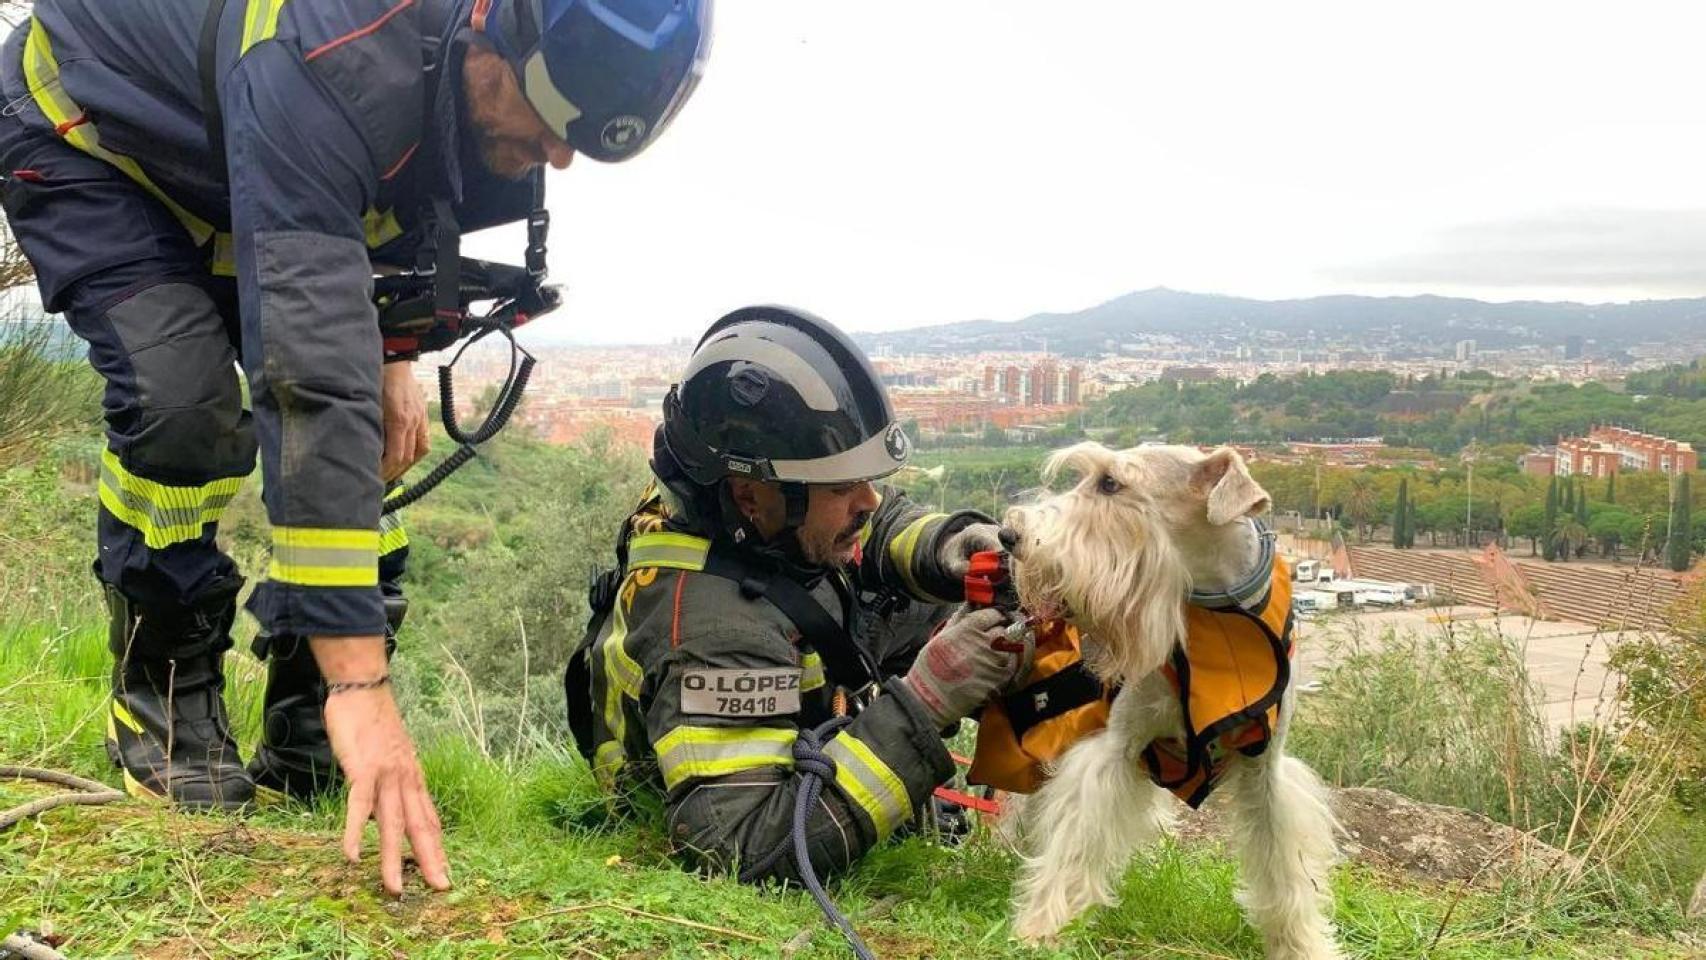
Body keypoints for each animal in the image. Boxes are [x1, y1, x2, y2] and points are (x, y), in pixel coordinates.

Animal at [996, 443, 1344, 960]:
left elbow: (1284, 864)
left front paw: (1300, 943)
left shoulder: (1267, 768)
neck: (1219, 614)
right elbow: (1076, 841)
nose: (1010, 534)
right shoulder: (1115, 747)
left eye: (1110, 483)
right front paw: (1043, 928)